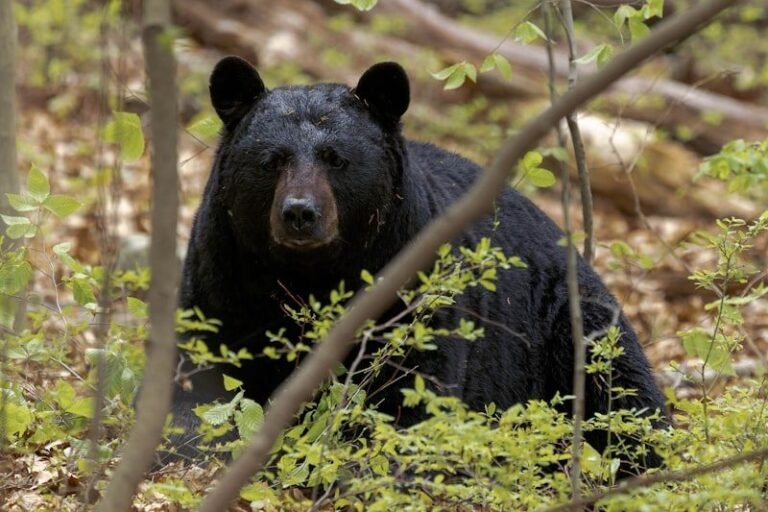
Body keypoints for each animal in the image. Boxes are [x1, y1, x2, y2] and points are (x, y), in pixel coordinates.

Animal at [170, 56, 667, 473]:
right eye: (272, 160)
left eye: (336, 159)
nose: (299, 213)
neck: (310, 274)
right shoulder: (223, 278)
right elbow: (201, 379)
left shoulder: (411, 286)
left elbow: (412, 390)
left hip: (566, 321)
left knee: (623, 392)